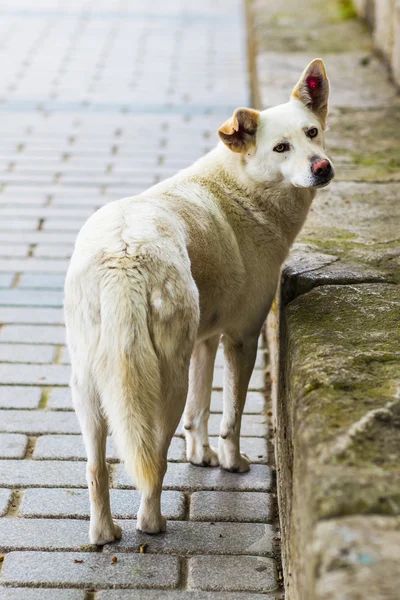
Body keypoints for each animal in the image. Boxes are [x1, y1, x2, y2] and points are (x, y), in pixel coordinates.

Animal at [65, 57, 334, 544]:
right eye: (281, 148)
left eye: (312, 132)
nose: (322, 167)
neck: (244, 188)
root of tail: (123, 256)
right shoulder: (241, 339)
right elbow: (230, 415)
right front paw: (230, 463)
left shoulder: (203, 341)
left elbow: (200, 409)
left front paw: (200, 455)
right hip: (161, 382)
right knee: (152, 462)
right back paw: (151, 524)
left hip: (90, 384)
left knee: (96, 467)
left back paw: (103, 533)